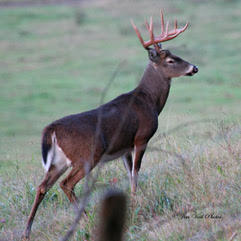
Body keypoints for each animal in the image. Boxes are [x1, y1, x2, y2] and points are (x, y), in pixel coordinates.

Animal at [22, 10, 198, 239]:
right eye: (170, 60)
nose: (194, 68)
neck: (149, 101)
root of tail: (51, 130)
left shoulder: (124, 147)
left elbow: (129, 174)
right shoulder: (141, 137)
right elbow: (136, 172)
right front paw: (135, 204)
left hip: (58, 161)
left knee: (42, 186)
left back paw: (27, 231)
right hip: (87, 155)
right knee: (66, 184)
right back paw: (85, 219)